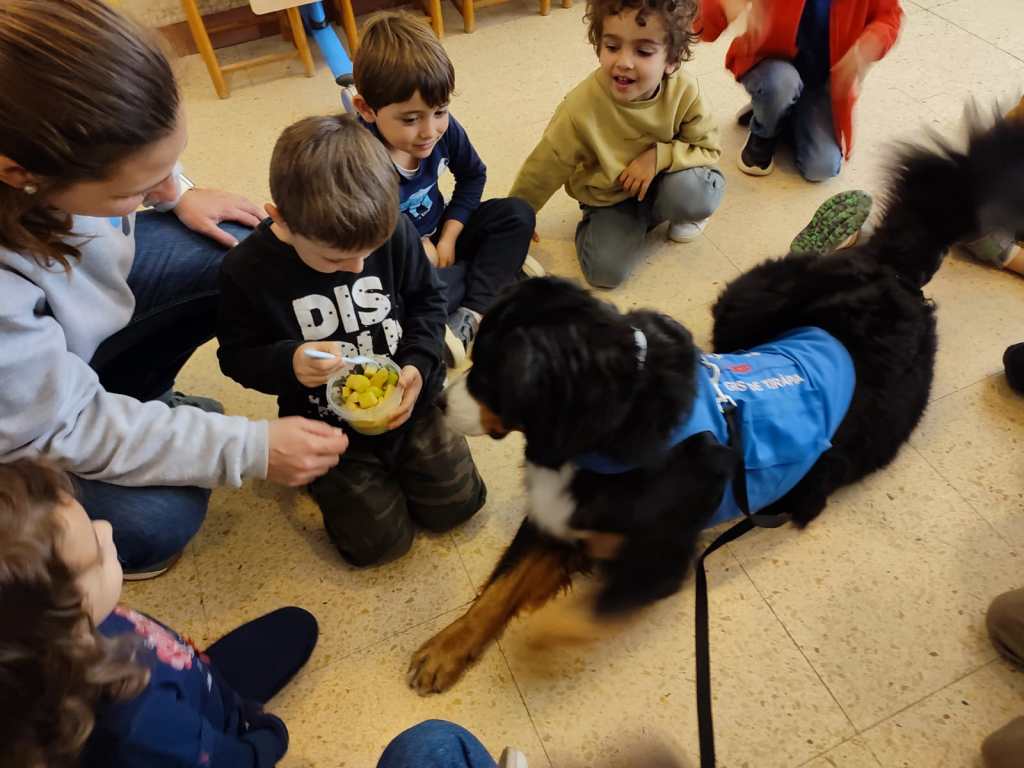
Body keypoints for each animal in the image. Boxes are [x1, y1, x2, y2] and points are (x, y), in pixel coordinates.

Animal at [407, 117, 1024, 695]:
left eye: (490, 377)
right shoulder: (559, 516)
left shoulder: (659, 556)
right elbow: (500, 589)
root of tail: (893, 274)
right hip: (747, 302)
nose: (435, 400)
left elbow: (581, 615)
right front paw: (445, 648)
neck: (611, 426)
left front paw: (535, 642)